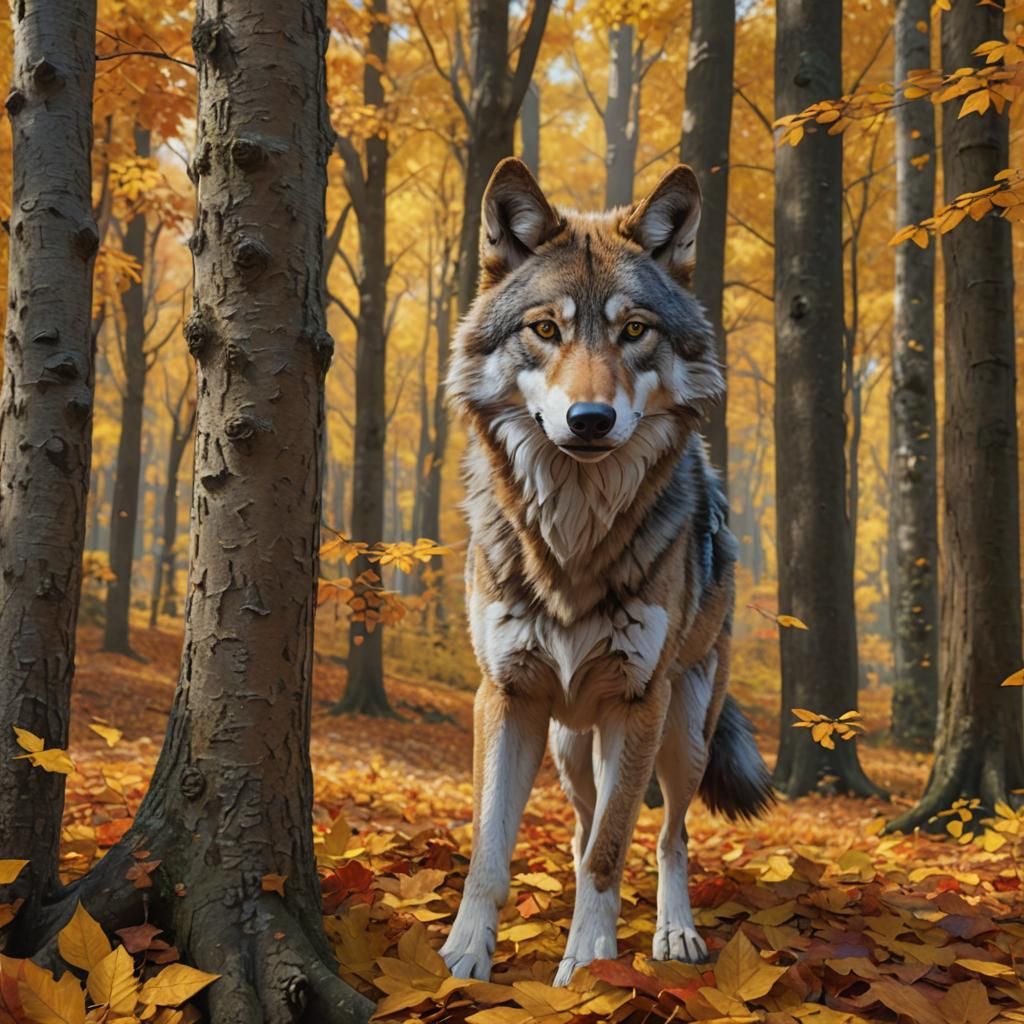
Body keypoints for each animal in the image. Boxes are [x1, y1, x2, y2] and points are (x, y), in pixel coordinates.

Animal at [442, 157, 773, 987]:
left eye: (633, 331)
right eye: (546, 329)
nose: (589, 420)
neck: (573, 539)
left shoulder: (637, 702)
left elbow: (613, 853)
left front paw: (590, 967)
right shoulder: (504, 697)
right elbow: (490, 853)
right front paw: (465, 957)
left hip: (683, 734)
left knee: (666, 837)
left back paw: (674, 934)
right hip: (570, 748)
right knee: (583, 826)